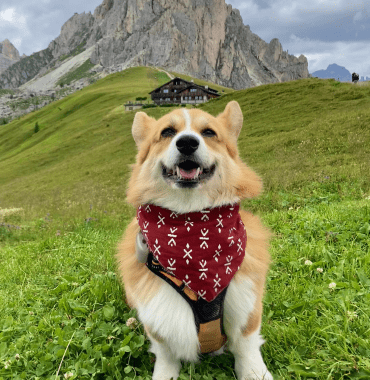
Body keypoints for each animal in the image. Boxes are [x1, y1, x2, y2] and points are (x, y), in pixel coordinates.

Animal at [117, 101, 274, 380]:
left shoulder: (246, 304)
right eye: (167, 132)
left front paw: (255, 372)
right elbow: (166, 354)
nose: (187, 143)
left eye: (209, 132)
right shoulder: (158, 317)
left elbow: (246, 347)